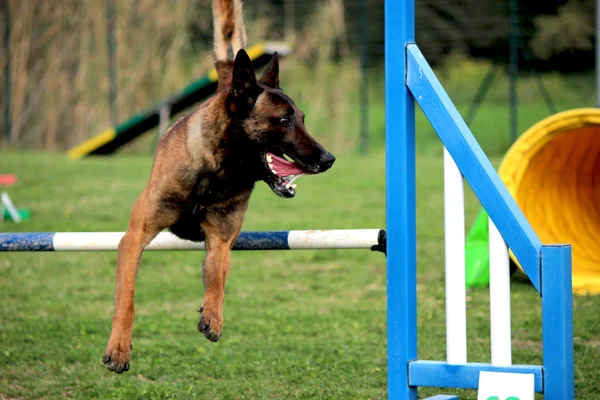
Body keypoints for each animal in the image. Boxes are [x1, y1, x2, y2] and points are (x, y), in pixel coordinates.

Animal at [104, 0, 338, 376]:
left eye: (303, 118)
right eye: (285, 120)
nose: (328, 158)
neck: (216, 171)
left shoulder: (220, 240)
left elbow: (218, 279)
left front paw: (212, 316)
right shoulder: (134, 238)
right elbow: (127, 299)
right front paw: (120, 348)